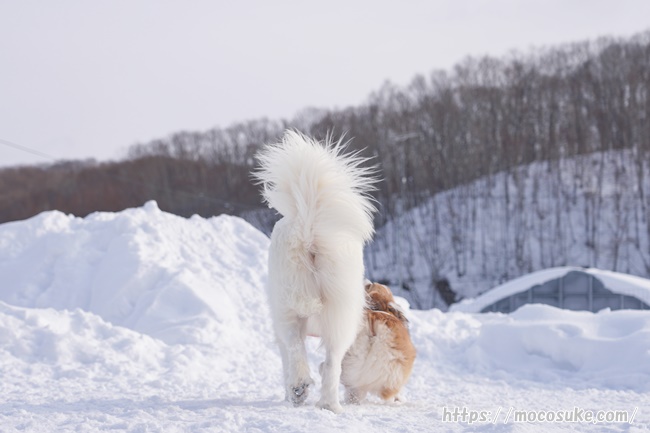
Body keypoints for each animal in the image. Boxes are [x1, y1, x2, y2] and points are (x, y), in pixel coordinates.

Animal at [253, 129, 374, 412]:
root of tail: (307, 229)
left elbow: (286, 359)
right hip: (342, 313)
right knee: (331, 364)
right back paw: (328, 405)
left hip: (286, 308)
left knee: (295, 347)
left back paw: (298, 390)